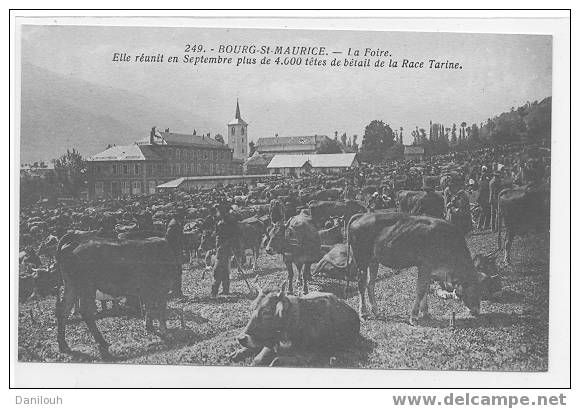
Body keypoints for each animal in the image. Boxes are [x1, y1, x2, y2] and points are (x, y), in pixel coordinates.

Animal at [230, 284, 358, 366]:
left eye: (266, 312)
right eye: (253, 309)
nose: (240, 338)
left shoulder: (310, 355)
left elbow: (274, 361)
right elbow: (258, 358)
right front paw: (238, 352)